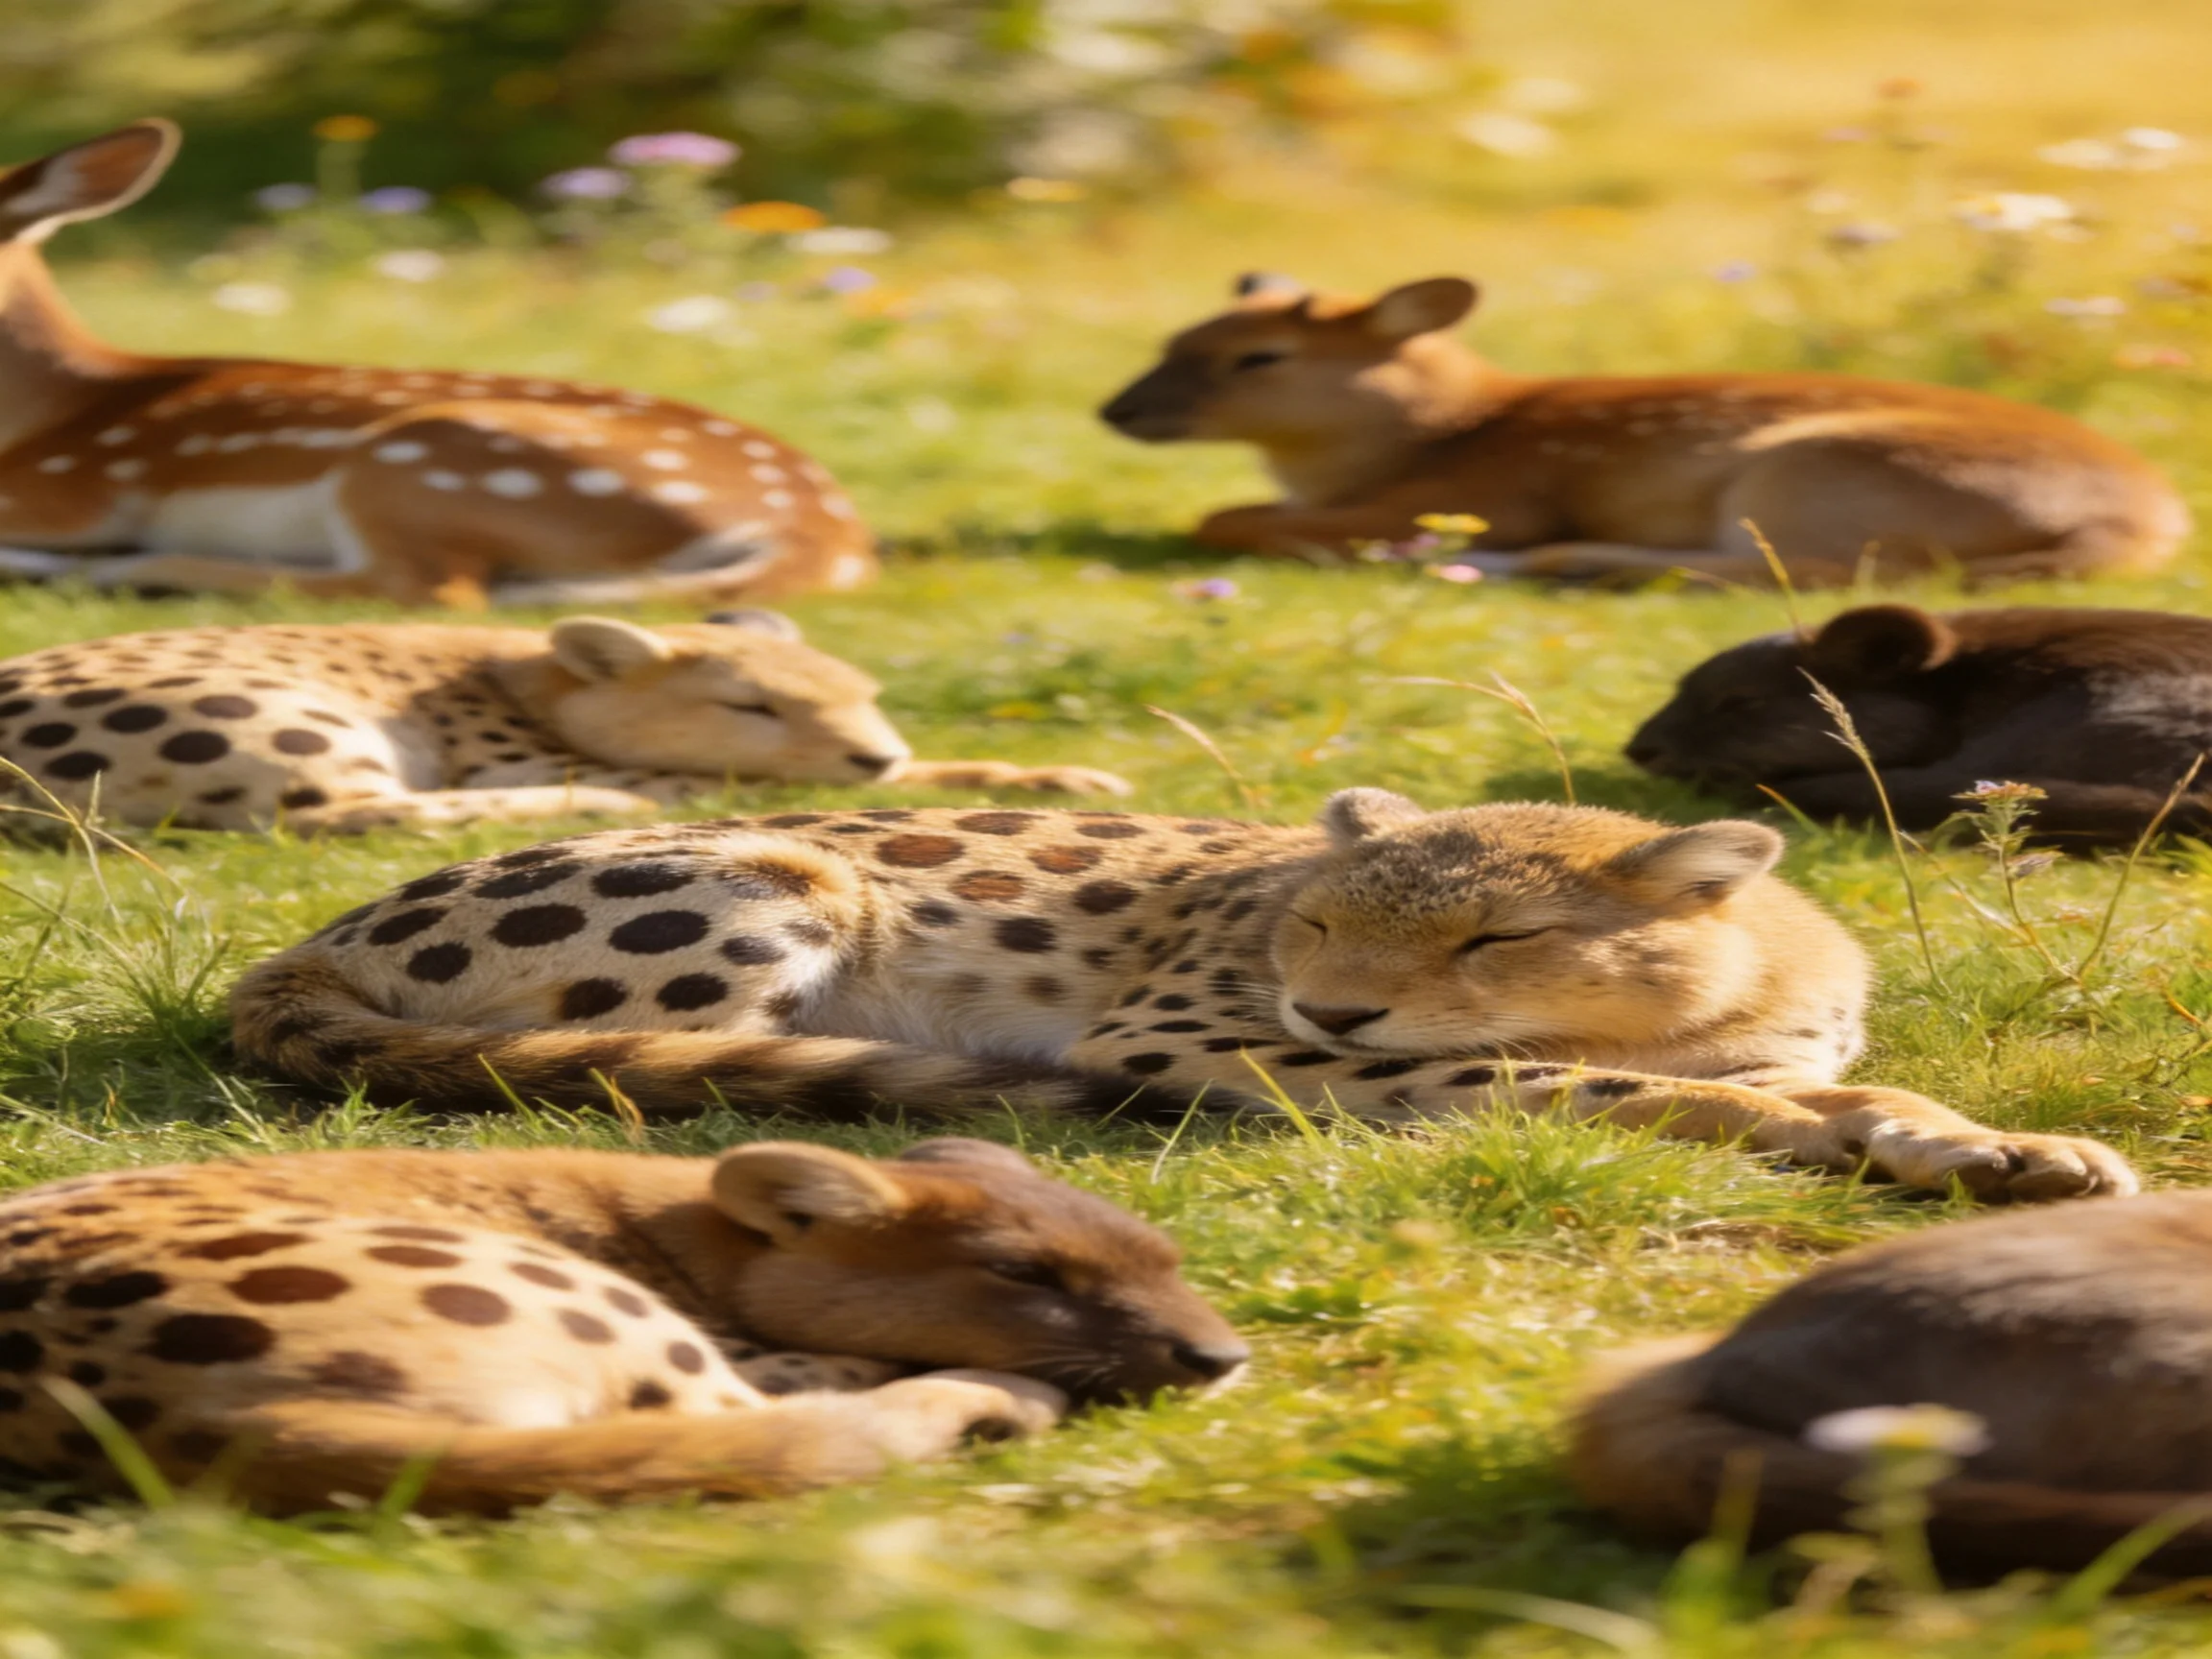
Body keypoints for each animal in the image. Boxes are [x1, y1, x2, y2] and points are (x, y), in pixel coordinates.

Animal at [0, 120, 878, 609]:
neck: (52, 409)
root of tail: (825, 533)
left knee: (430, 585)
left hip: (419, 456)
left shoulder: (73, 488)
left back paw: (134, 568)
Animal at [1099, 274, 2190, 587]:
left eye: (1259, 357)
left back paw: (1573, 562)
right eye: (1175, 337)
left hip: (1801, 473)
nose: (1117, 410)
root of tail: (2141, 524)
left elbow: (1227, 517)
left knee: (1832, 571)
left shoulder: (1485, 497)